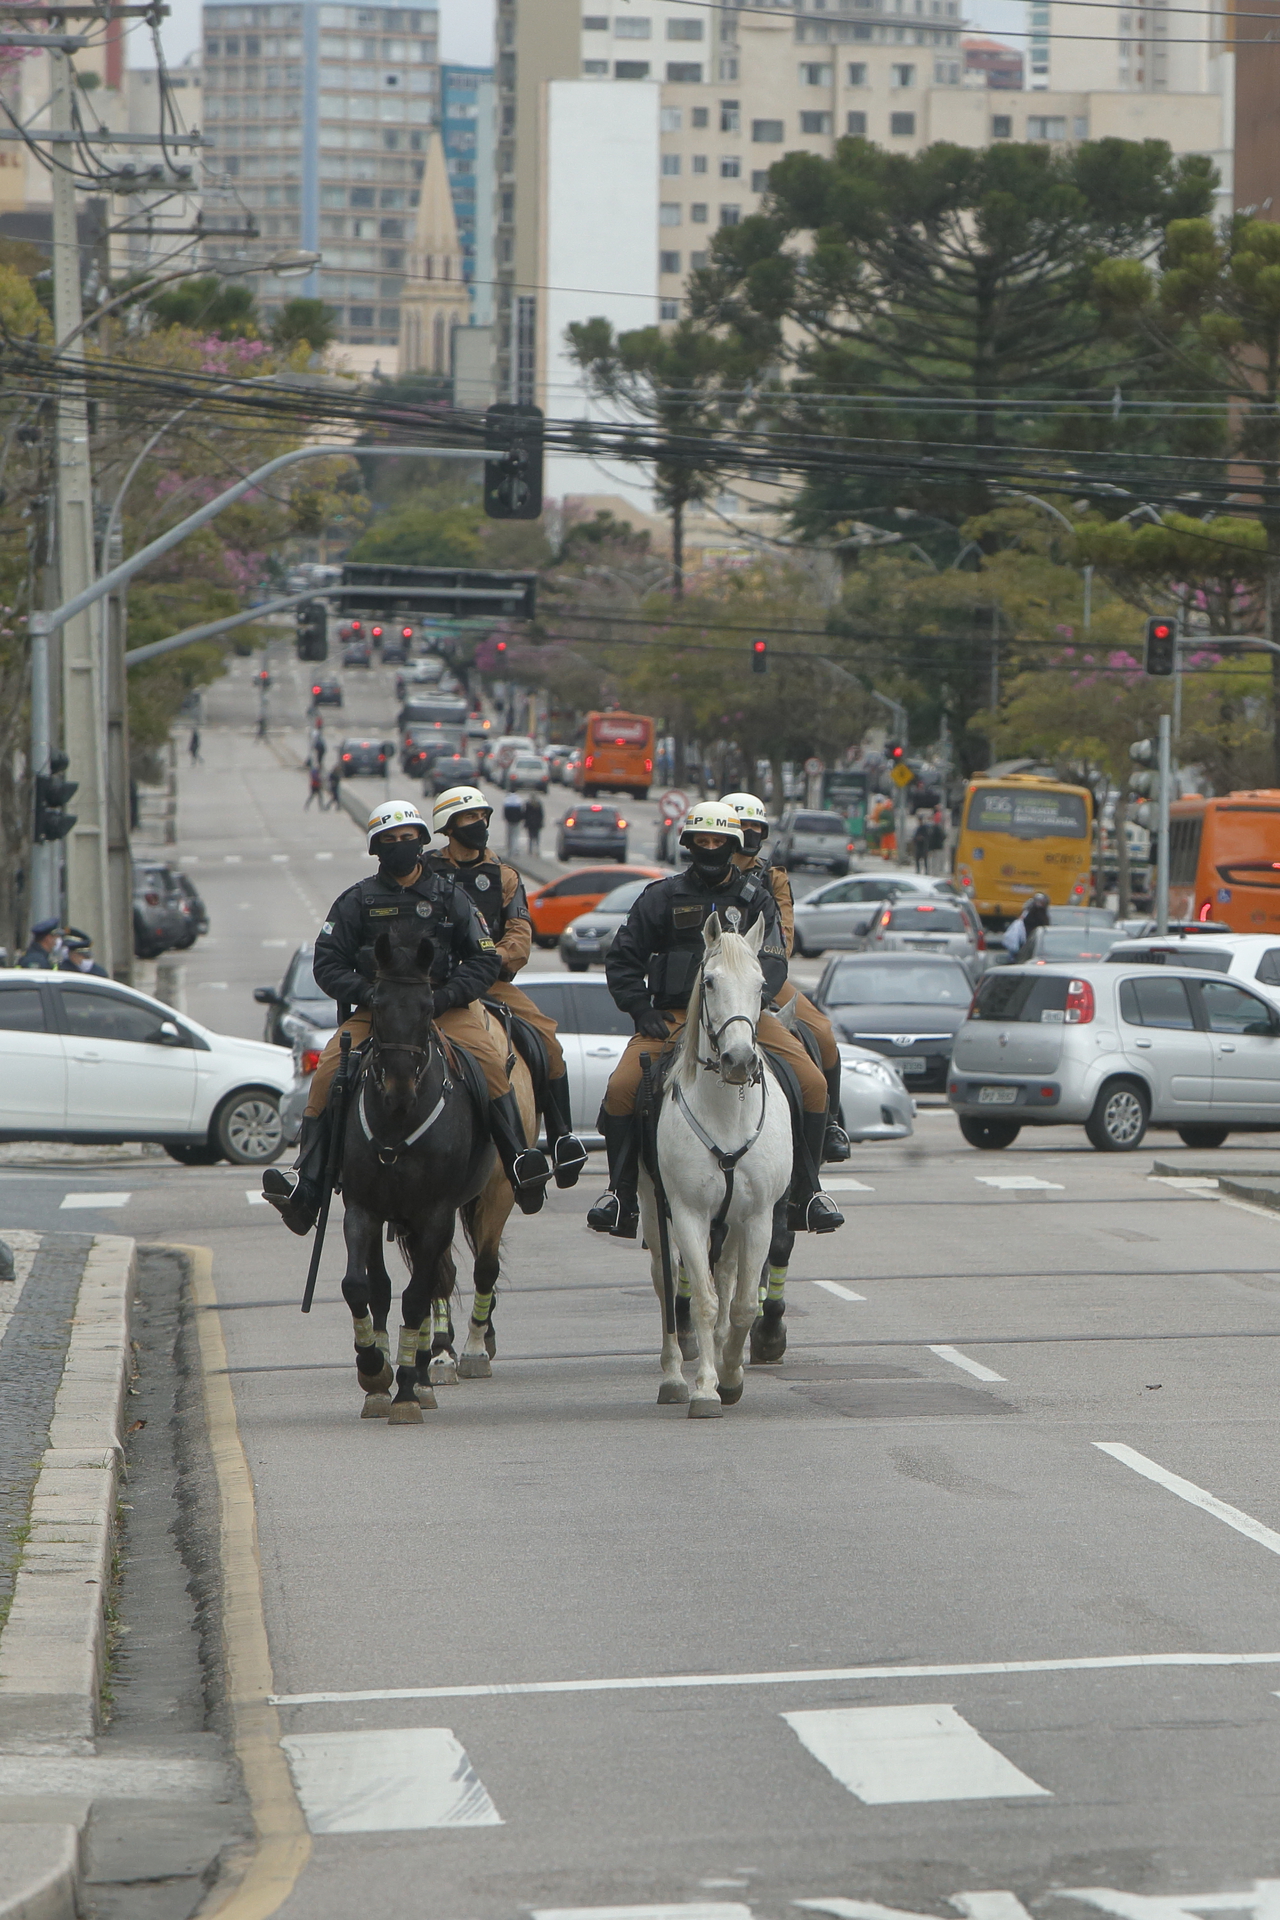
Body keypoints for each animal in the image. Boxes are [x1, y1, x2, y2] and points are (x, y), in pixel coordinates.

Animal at [339, 929, 495, 1428]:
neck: (397, 1123)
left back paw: (426, 1374)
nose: (399, 1087)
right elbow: (361, 1287)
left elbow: (416, 1297)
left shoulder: (435, 1216)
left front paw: (406, 1390)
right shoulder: (362, 1210)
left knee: (437, 1284)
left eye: (428, 1006)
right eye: (376, 1001)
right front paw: (374, 1369)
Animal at [640, 921, 802, 1420]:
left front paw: (731, 1376)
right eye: (709, 981)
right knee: (664, 1279)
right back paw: (674, 1376)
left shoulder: (758, 1217)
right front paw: (705, 1388)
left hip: (733, 1221)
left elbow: (743, 1303)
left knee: (727, 1277)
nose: (738, 1060)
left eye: (761, 985)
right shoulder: (687, 1213)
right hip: (652, 1208)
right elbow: (704, 1300)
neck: (726, 1113)